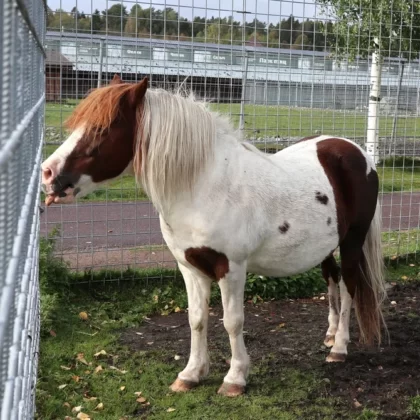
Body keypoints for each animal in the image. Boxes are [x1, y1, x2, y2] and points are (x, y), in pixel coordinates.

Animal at [41, 75, 388, 398]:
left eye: (102, 128)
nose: (47, 173)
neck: (205, 185)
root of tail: (357, 153)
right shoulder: (190, 267)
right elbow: (197, 319)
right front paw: (191, 374)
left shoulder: (230, 268)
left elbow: (232, 321)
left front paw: (235, 378)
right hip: (325, 247)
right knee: (332, 280)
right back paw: (330, 334)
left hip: (352, 242)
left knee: (349, 286)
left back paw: (339, 347)